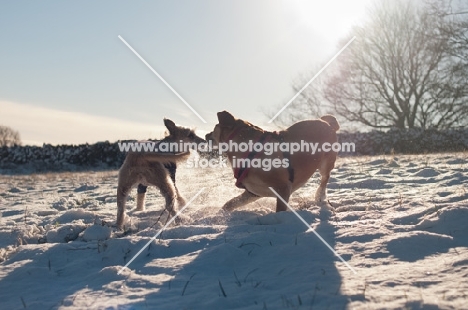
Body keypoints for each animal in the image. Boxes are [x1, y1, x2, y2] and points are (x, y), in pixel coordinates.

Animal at [206, 111, 340, 213]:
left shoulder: (283, 188)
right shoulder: (253, 192)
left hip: (326, 162)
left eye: (215, 127)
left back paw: (319, 195)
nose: (206, 135)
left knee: (325, 178)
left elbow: (280, 210)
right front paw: (220, 214)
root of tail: (328, 123)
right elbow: (231, 203)